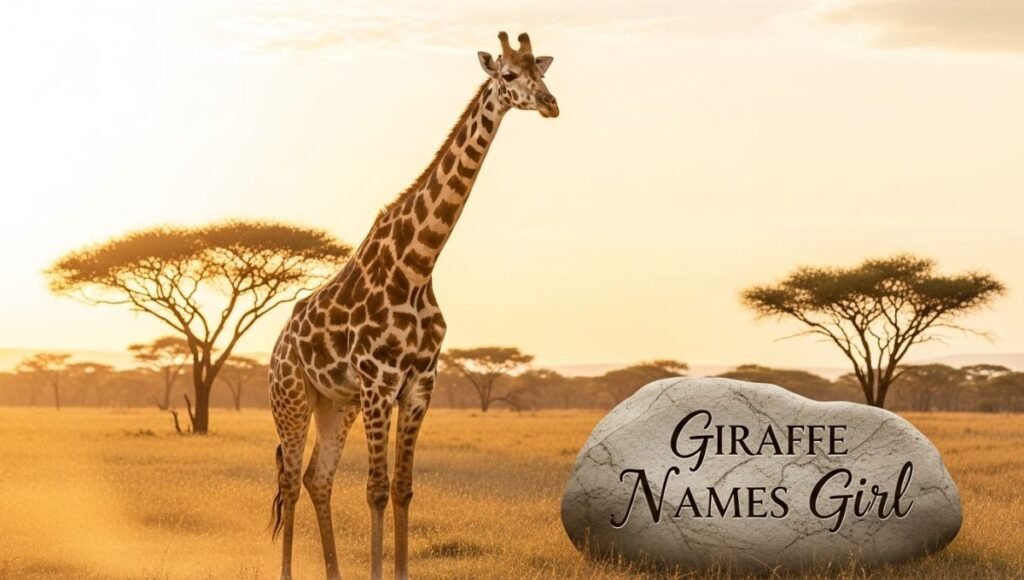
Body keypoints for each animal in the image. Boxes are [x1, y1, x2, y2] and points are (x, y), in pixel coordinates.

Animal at [268, 31, 558, 580]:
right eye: (508, 74)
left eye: (543, 71)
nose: (552, 104)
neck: (418, 265)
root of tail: (276, 349)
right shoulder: (380, 382)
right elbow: (377, 491)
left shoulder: (420, 383)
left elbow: (402, 490)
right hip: (292, 397)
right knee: (291, 482)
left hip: (336, 403)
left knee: (318, 478)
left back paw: (333, 573)